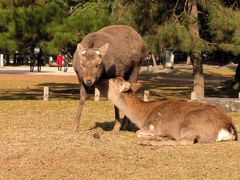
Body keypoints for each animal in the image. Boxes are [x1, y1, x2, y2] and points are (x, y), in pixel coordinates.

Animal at [96, 78, 238, 146]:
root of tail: (228, 128)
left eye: (110, 80)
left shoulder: (152, 126)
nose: (96, 81)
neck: (143, 116)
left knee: (186, 140)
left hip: (190, 123)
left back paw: (149, 142)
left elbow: (137, 133)